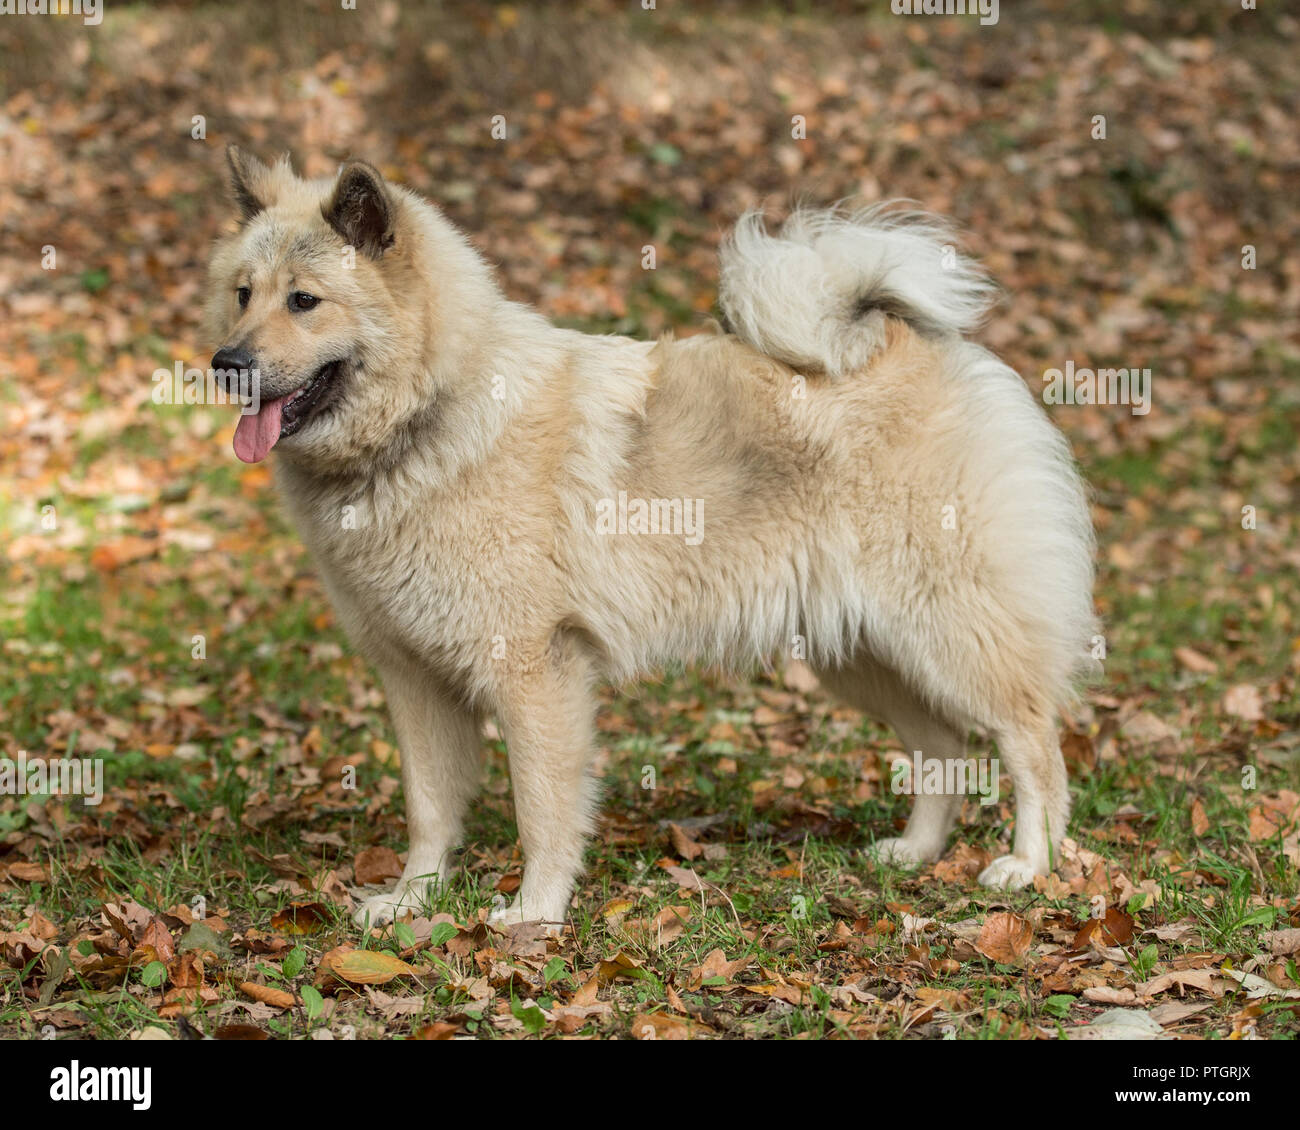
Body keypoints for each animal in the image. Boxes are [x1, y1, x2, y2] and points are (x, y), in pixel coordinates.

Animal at [205, 147, 1097, 925]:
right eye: (245, 294)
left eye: (304, 301)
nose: (225, 364)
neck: (432, 411)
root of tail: (907, 340)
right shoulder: (414, 679)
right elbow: (429, 808)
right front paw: (412, 902)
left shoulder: (536, 674)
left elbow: (541, 808)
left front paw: (535, 912)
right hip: (866, 653)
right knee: (941, 745)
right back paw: (914, 852)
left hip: (943, 631)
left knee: (1031, 740)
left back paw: (1031, 864)